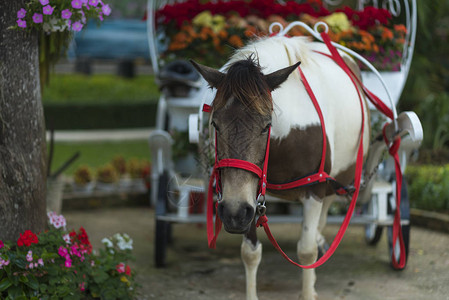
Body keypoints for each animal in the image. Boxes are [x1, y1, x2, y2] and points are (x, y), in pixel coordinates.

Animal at [191, 35, 370, 300]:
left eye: (267, 125)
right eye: (215, 123)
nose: (232, 211)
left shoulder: (314, 190)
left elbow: (306, 251)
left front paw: (308, 291)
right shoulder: (248, 198)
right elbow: (250, 253)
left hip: (337, 181)